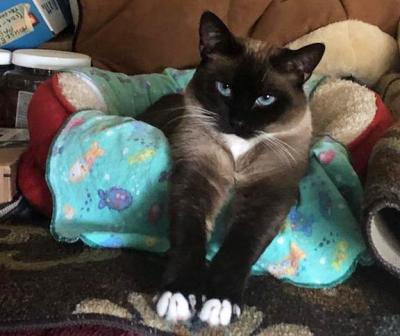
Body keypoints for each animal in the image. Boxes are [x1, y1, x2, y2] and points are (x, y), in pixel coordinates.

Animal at [138, 11, 324, 328]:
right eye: (225, 88)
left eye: (265, 99)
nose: (237, 122)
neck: (239, 150)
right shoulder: (196, 179)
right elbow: (189, 238)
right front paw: (179, 296)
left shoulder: (268, 196)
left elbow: (238, 248)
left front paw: (219, 303)